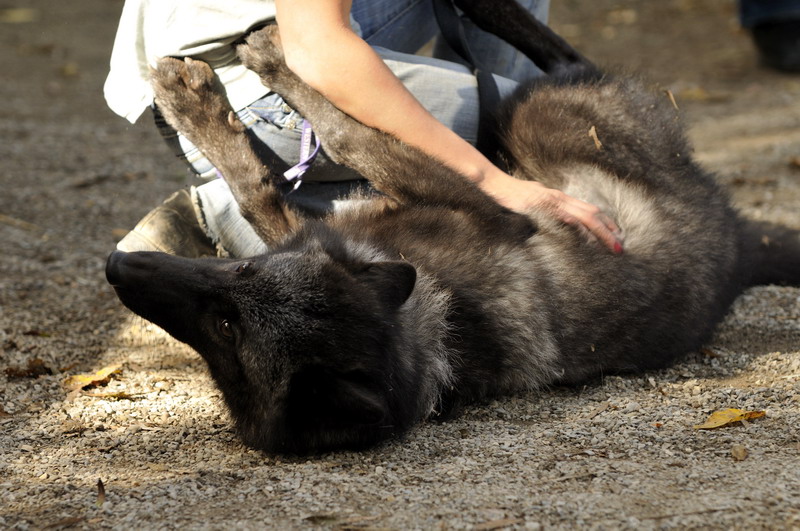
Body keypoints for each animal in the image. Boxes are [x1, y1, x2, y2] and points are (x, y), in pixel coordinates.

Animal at [106, 0, 800, 454]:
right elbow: (271, 177)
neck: (439, 313)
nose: (118, 266)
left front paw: (212, 90)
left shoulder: (483, 203)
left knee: (561, 58)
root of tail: (738, 236)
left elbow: (339, 136)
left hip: (534, 114)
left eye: (230, 320)